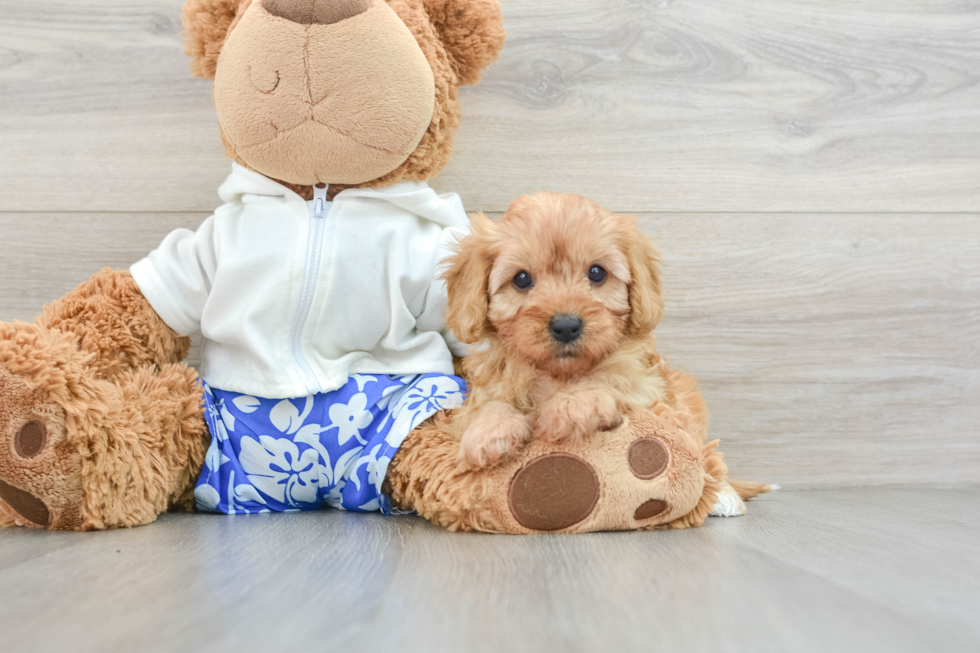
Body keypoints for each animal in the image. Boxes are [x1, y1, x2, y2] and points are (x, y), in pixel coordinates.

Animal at [444, 191, 752, 516]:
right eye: (522, 279)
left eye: (596, 273)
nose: (566, 326)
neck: (557, 374)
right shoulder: (477, 397)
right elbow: (488, 405)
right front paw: (487, 432)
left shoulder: (646, 388)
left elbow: (607, 379)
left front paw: (572, 406)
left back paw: (724, 496)